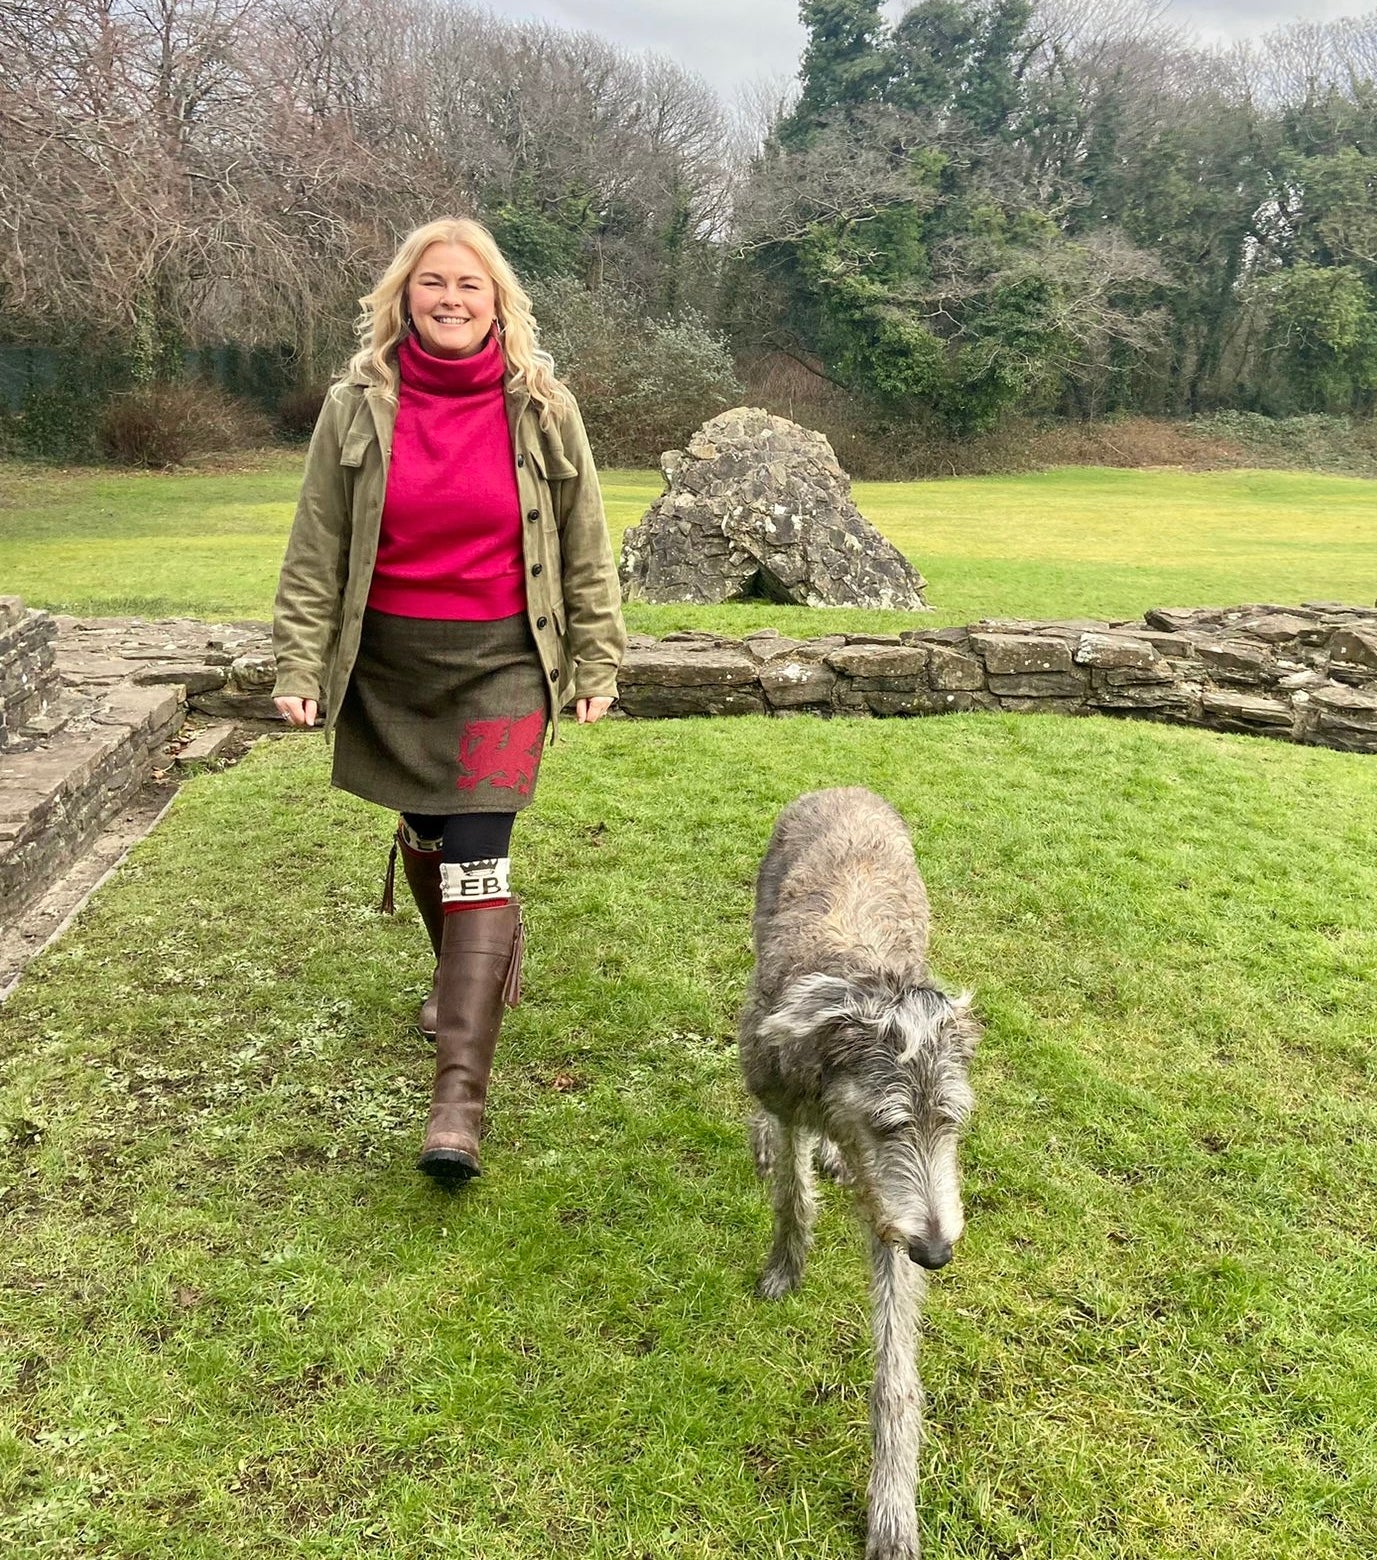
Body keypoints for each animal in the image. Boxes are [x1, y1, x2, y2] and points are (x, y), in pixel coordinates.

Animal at [742, 786, 979, 1560]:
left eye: (952, 1123)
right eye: (889, 1124)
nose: (938, 1254)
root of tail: (842, 788)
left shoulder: (900, 1214)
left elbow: (894, 1369)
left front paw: (892, 1508)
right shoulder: (786, 1089)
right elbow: (791, 1195)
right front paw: (785, 1266)